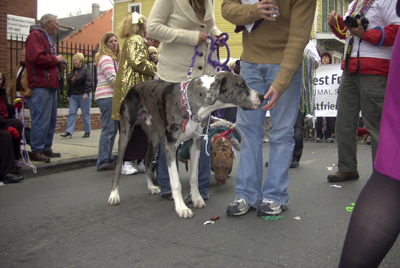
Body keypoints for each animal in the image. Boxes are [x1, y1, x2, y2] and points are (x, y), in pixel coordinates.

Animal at [108, 71, 264, 218]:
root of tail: (134, 87)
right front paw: (181, 208)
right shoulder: (170, 146)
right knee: (118, 165)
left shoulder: (196, 142)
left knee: (147, 161)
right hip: (126, 134)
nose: (262, 97)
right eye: (241, 85)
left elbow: (194, 176)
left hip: (154, 137)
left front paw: (196, 198)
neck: (192, 103)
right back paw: (114, 195)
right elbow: (175, 182)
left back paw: (151, 187)